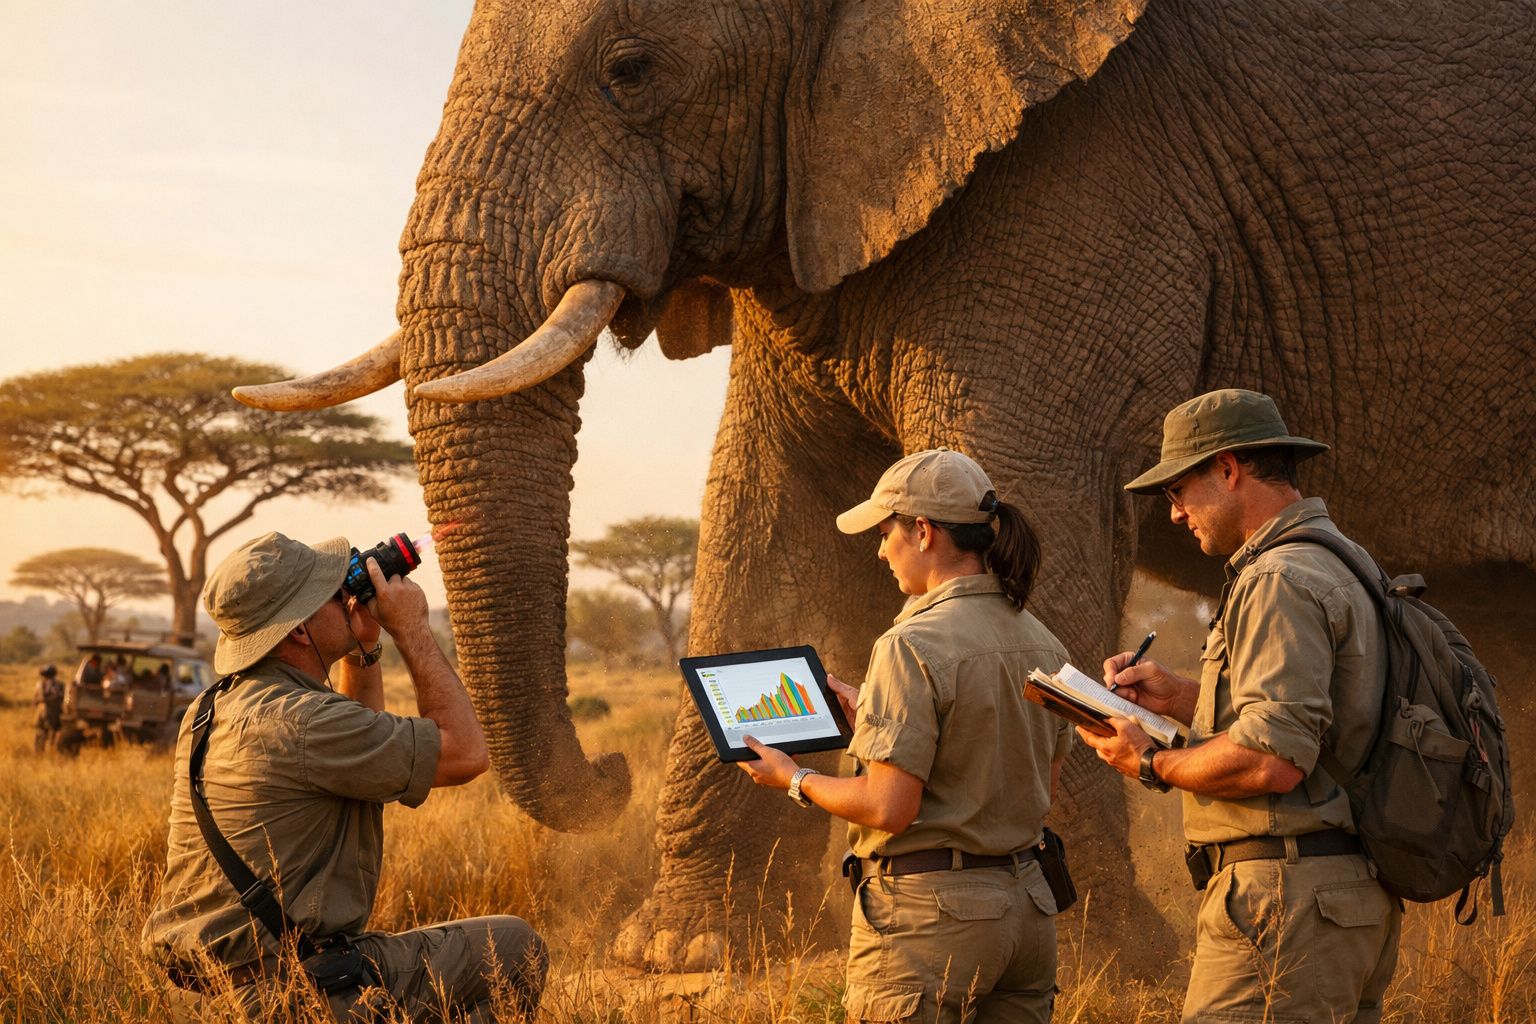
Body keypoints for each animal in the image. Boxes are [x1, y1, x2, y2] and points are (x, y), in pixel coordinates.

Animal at [237, 0, 1536, 972]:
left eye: (631, 68)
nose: (604, 775)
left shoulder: (1095, 161)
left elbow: (1031, 501)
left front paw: (1101, 964)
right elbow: (768, 519)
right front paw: (686, 955)